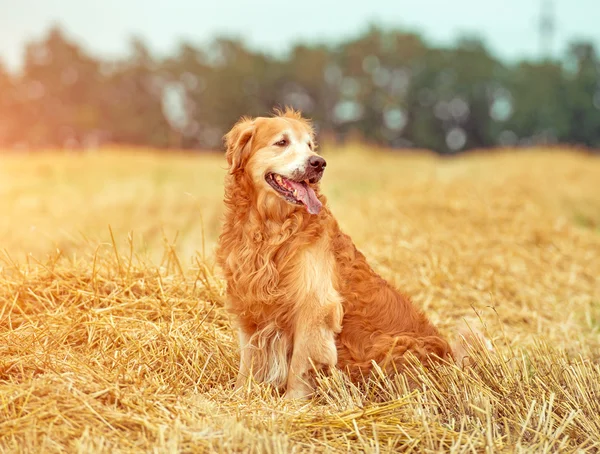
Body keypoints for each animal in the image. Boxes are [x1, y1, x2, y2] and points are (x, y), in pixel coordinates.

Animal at [218, 107, 476, 398]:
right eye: (282, 142)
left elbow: (300, 364)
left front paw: (293, 401)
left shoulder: (315, 305)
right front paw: (240, 395)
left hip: (397, 346)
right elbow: (249, 358)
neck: (271, 228)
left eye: (310, 145)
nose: (319, 163)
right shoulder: (249, 300)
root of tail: (451, 359)